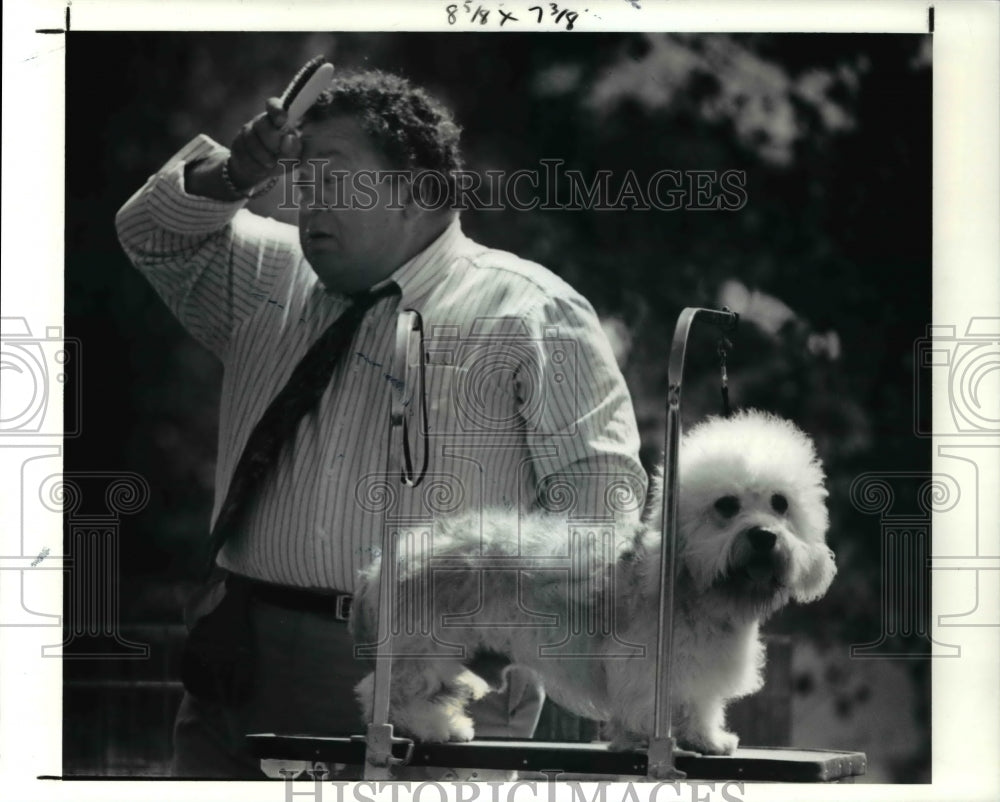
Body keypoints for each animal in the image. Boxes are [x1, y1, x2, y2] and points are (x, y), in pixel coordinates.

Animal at [352, 410, 836, 752]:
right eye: (727, 505)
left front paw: (708, 740)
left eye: (780, 503)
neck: (694, 588)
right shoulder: (644, 666)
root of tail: (391, 558)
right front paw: (642, 738)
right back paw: (431, 727)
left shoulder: (700, 673)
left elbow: (700, 706)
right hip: (426, 649)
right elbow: (647, 704)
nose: (764, 536)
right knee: (388, 694)